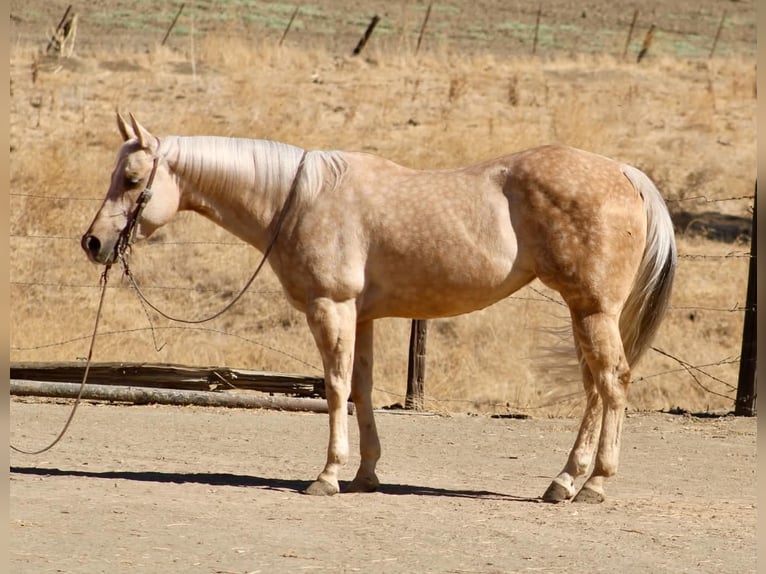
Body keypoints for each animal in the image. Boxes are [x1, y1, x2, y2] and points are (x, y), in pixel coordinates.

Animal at [82, 112, 676, 503]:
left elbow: (335, 388)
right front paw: (366, 475)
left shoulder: (332, 308)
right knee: (595, 388)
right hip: (584, 312)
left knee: (613, 382)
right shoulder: (362, 317)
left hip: (593, 310)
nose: (93, 243)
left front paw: (326, 476)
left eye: (131, 180)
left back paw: (593, 483)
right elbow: (362, 391)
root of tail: (625, 173)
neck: (301, 200)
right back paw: (565, 480)